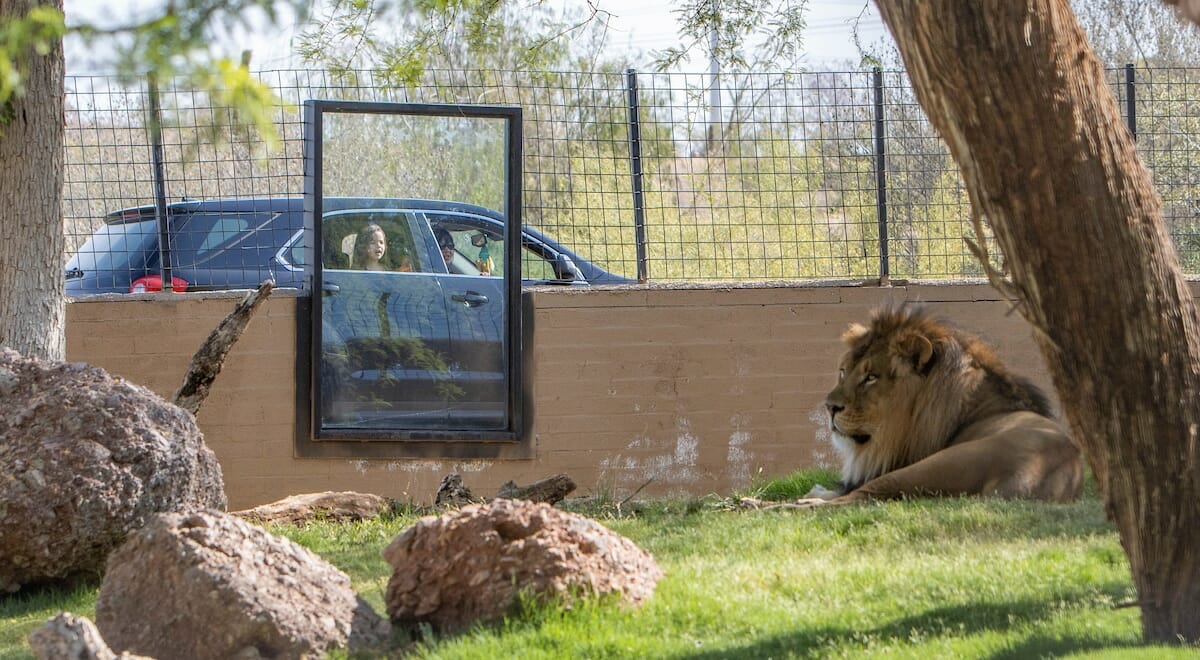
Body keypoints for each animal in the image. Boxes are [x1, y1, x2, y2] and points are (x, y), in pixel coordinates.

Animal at [748, 307, 1080, 511]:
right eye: (843, 372)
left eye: (871, 377)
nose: (830, 407)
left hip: (930, 467)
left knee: (851, 501)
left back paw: (759, 505)